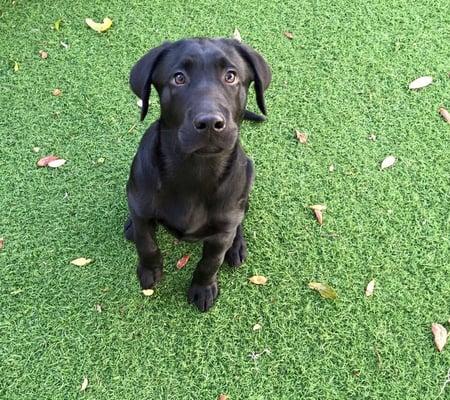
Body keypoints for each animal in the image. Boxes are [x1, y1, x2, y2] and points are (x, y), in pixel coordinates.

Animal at [123, 37, 270, 310]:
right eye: (179, 78)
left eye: (231, 76)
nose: (210, 123)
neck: (195, 171)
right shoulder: (143, 209)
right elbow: (147, 244)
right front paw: (149, 270)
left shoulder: (221, 233)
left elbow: (210, 263)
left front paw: (203, 288)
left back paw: (237, 246)